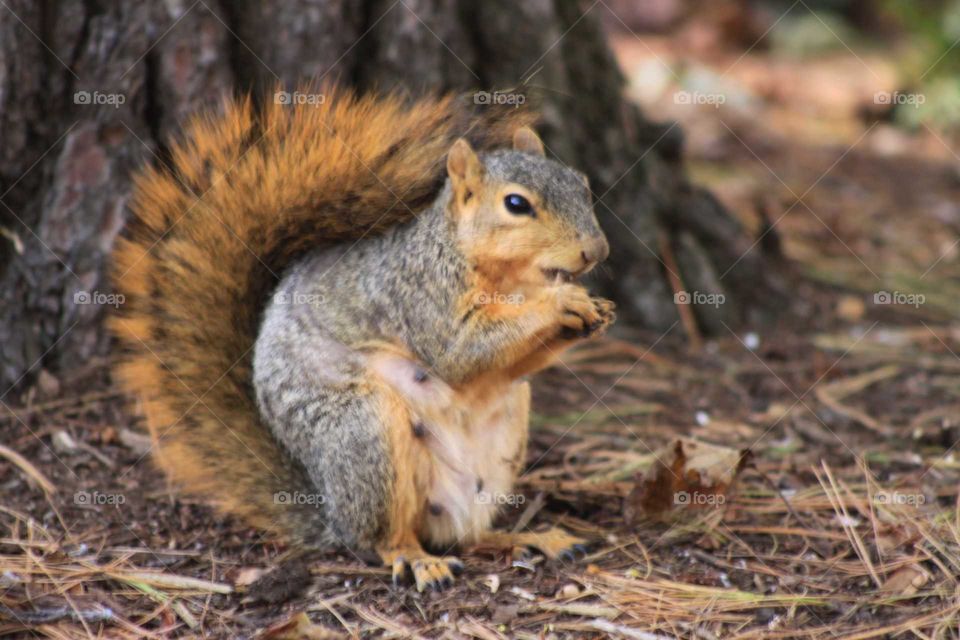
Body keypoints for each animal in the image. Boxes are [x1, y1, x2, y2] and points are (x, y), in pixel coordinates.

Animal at [109, 85, 612, 592]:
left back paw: (530, 538)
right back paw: (417, 559)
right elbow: (461, 353)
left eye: (581, 184)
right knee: (384, 538)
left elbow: (512, 364)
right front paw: (562, 303)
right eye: (516, 204)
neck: (508, 279)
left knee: (465, 537)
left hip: (506, 431)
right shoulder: (417, 296)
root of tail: (332, 517)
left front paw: (594, 311)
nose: (597, 251)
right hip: (364, 429)